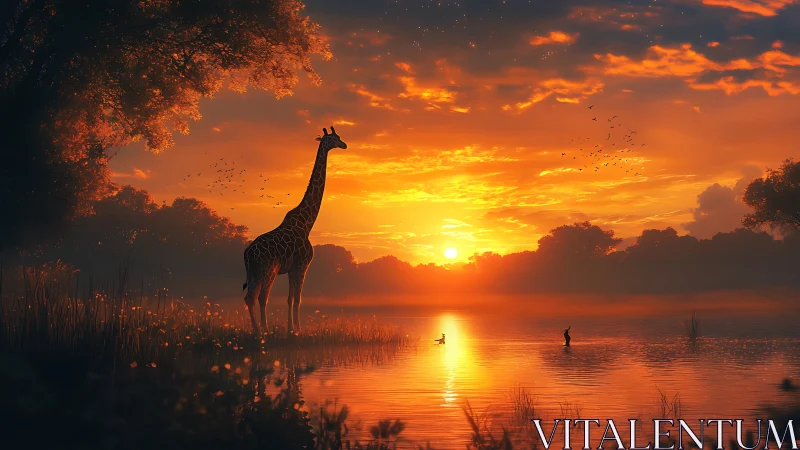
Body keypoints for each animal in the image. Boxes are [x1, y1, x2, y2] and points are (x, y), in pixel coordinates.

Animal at [242, 126, 347, 333]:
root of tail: (247, 254)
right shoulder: (302, 265)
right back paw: (265, 330)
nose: (345, 144)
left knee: (249, 297)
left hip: (253, 271)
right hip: (268, 269)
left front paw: (291, 329)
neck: (307, 223)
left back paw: (257, 330)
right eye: (334, 138)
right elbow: (298, 298)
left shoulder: (292, 268)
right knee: (262, 297)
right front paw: (298, 329)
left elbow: (290, 299)